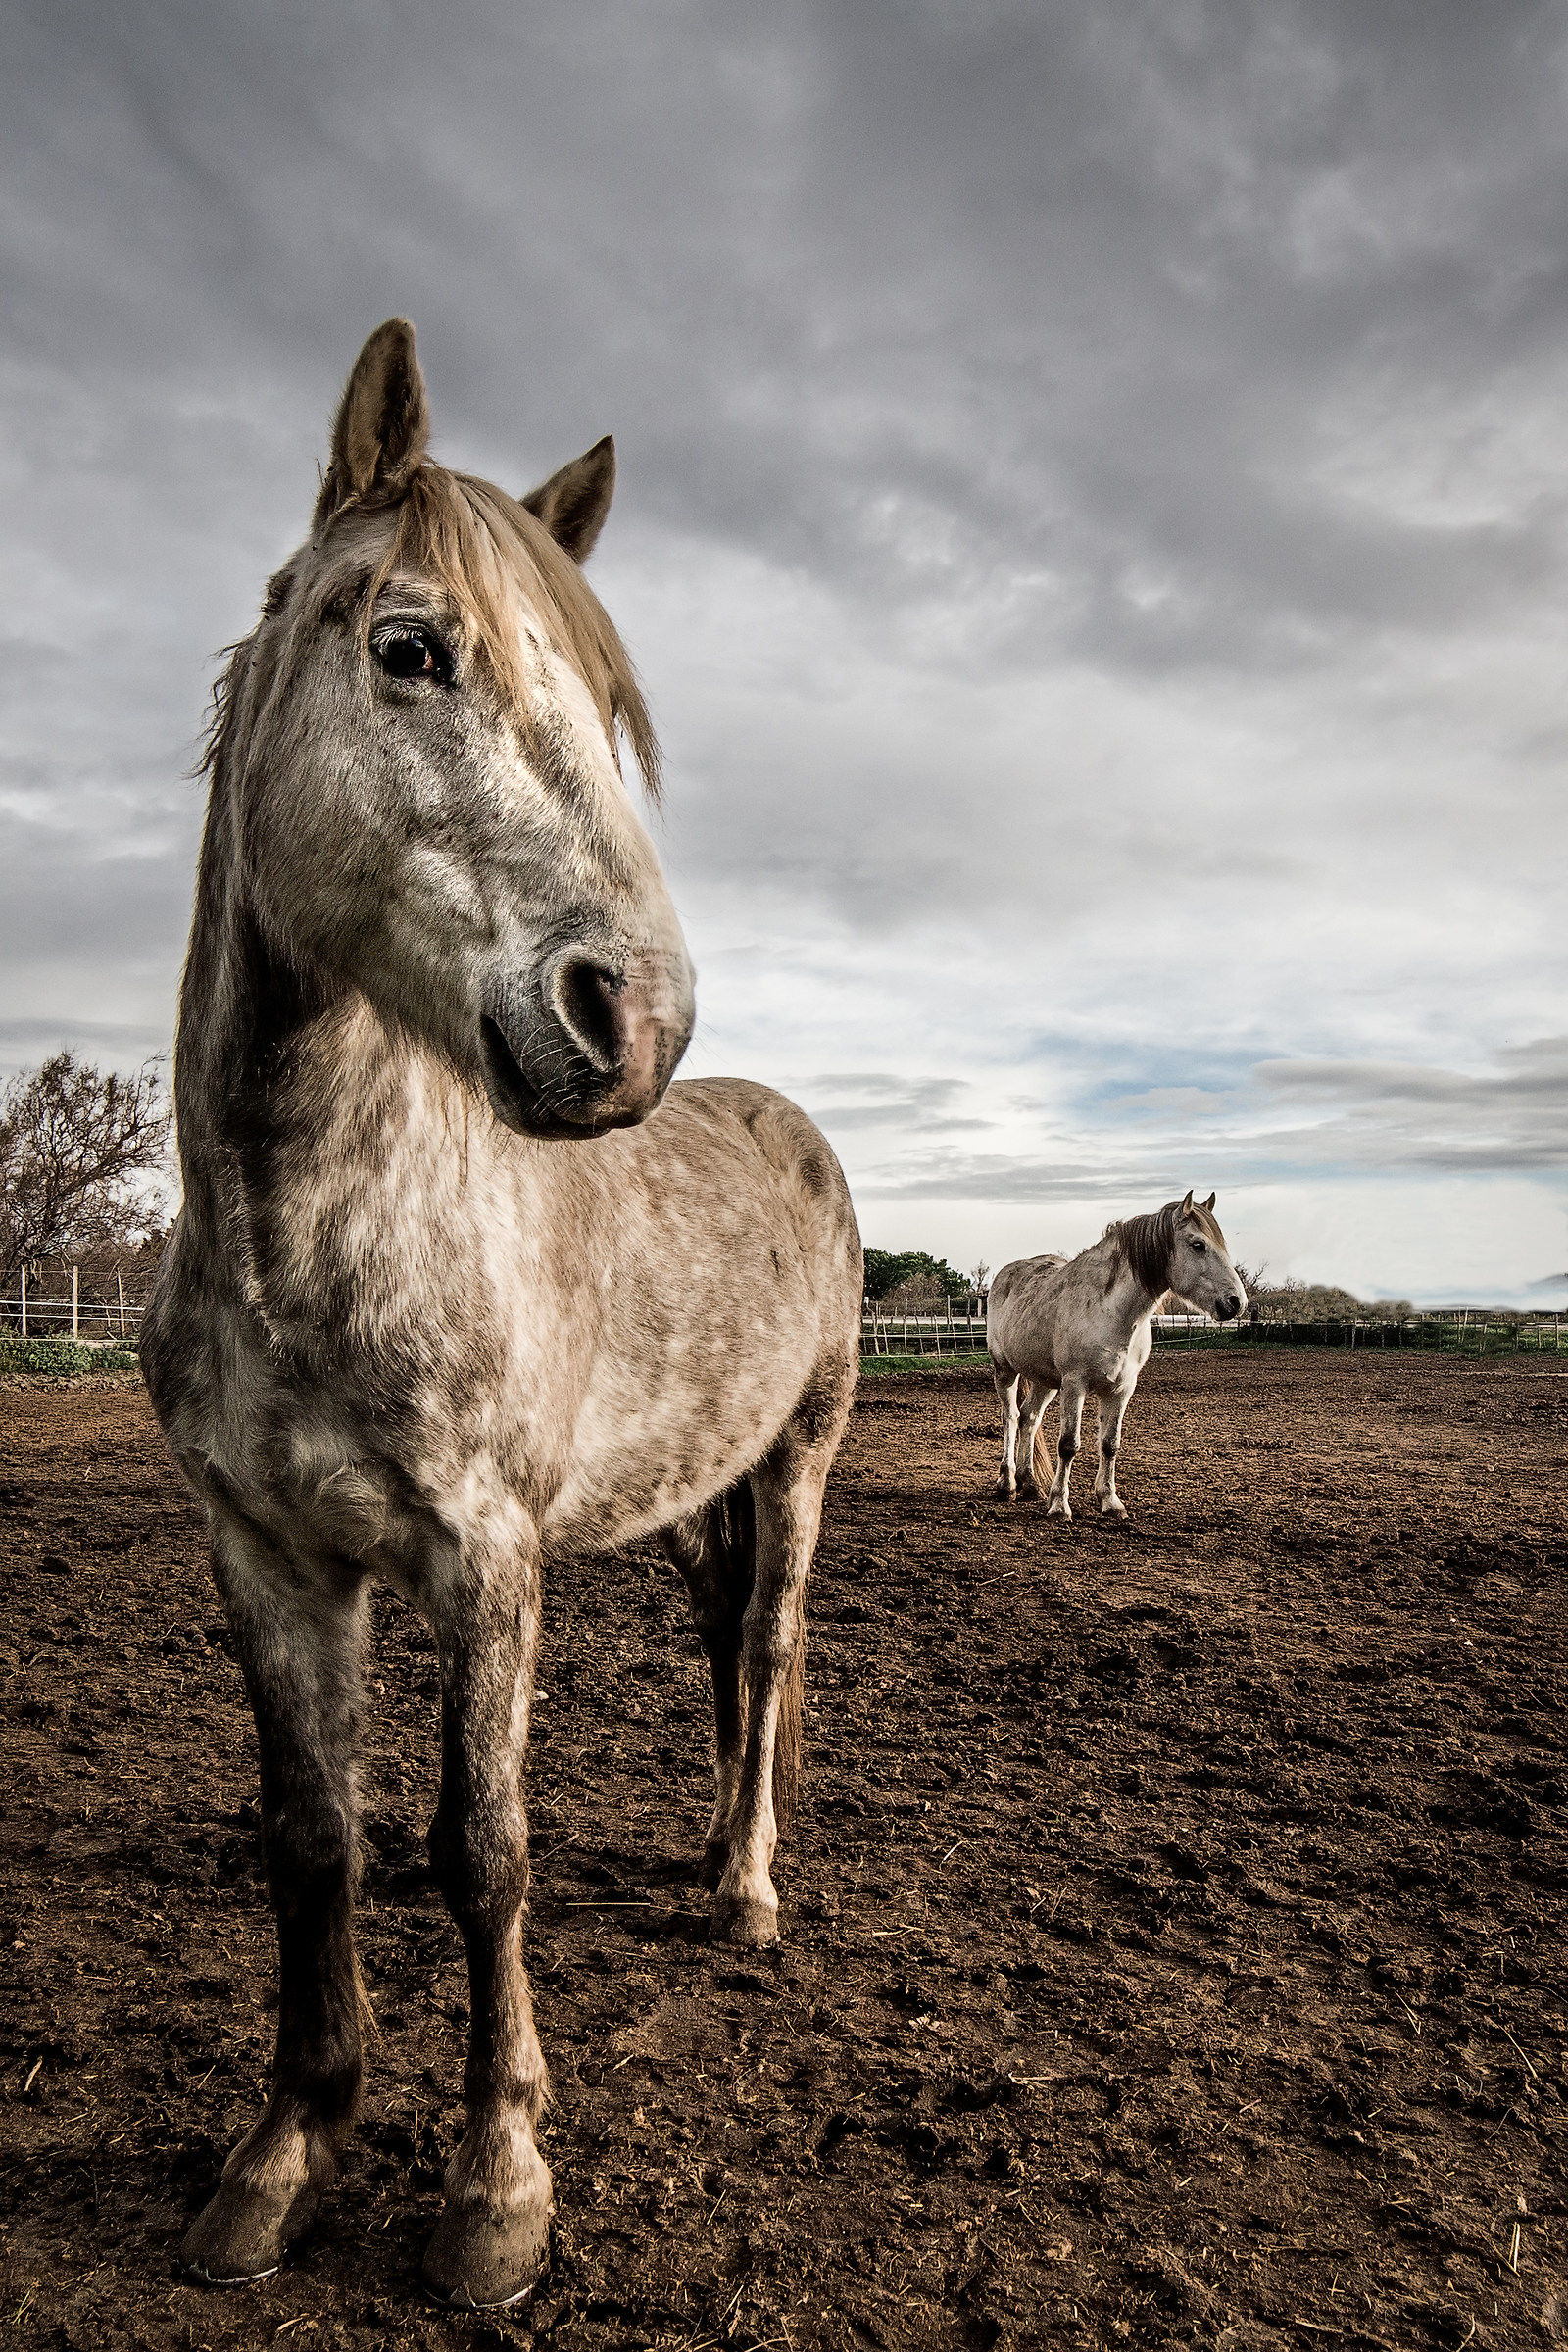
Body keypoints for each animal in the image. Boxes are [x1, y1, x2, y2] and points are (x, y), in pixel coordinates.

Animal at [139, 319, 863, 2310]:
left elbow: (484, 1854)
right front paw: (282, 2153)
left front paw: (497, 2188)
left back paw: (748, 1892)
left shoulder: (489, 1554)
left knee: (770, 1646)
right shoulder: (266, 1551)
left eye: (609, 716)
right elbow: (315, 1837)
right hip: (692, 1489)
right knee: (724, 1659)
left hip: (800, 1462)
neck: (311, 1234)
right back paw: (706, 1855)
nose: (637, 1019)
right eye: (411, 647)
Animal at [986, 1192, 1245, 1519]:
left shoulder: (1121, 1389)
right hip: (1005, 1370)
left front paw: (1110, 1502)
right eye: (1198, 1244)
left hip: (1045, 1380)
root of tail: (1006, 1274)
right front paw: (1059, 1505)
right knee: (1010, 1418)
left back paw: (1029, 1484)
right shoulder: (1075, 1385)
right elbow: (1068, 1445)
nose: (1236, 1302)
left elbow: (1110, 1445)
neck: (1110, 1312)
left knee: (1029, 1419)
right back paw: (1007, 1484)